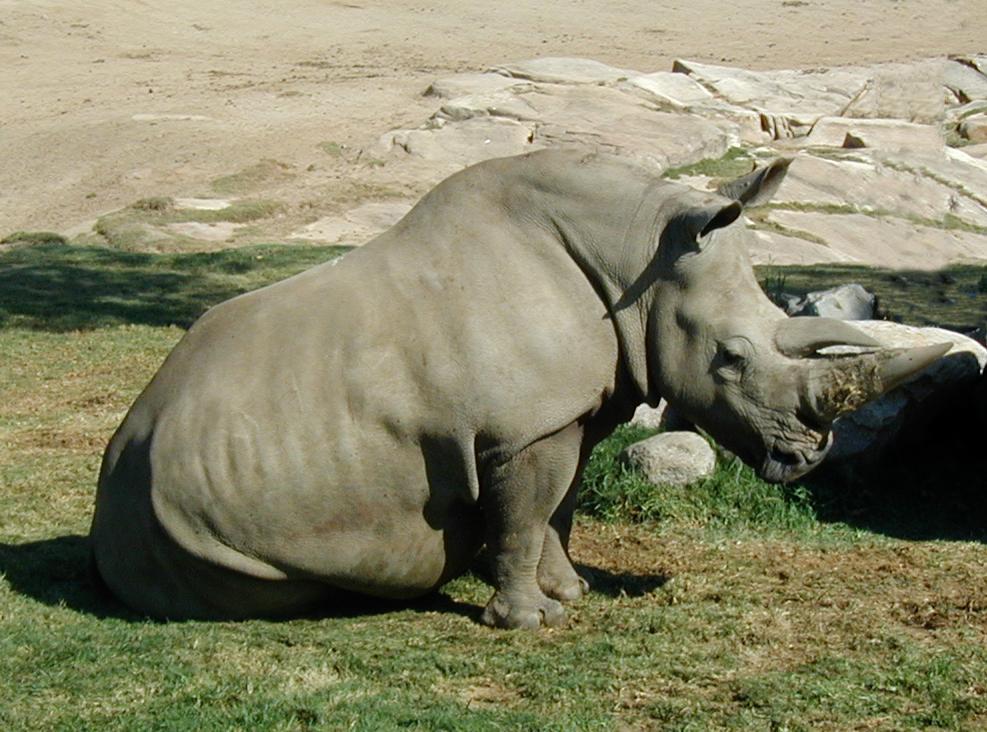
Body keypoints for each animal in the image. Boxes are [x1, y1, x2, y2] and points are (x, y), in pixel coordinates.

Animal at [90, 149, 947, 628]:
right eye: (729, 359)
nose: (807, 458)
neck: (636, 258)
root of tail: (122, 452)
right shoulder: (521, 426)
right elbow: (525, 514)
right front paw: (528, 621)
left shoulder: (566, 411)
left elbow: (554, 510)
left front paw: (570, 593)